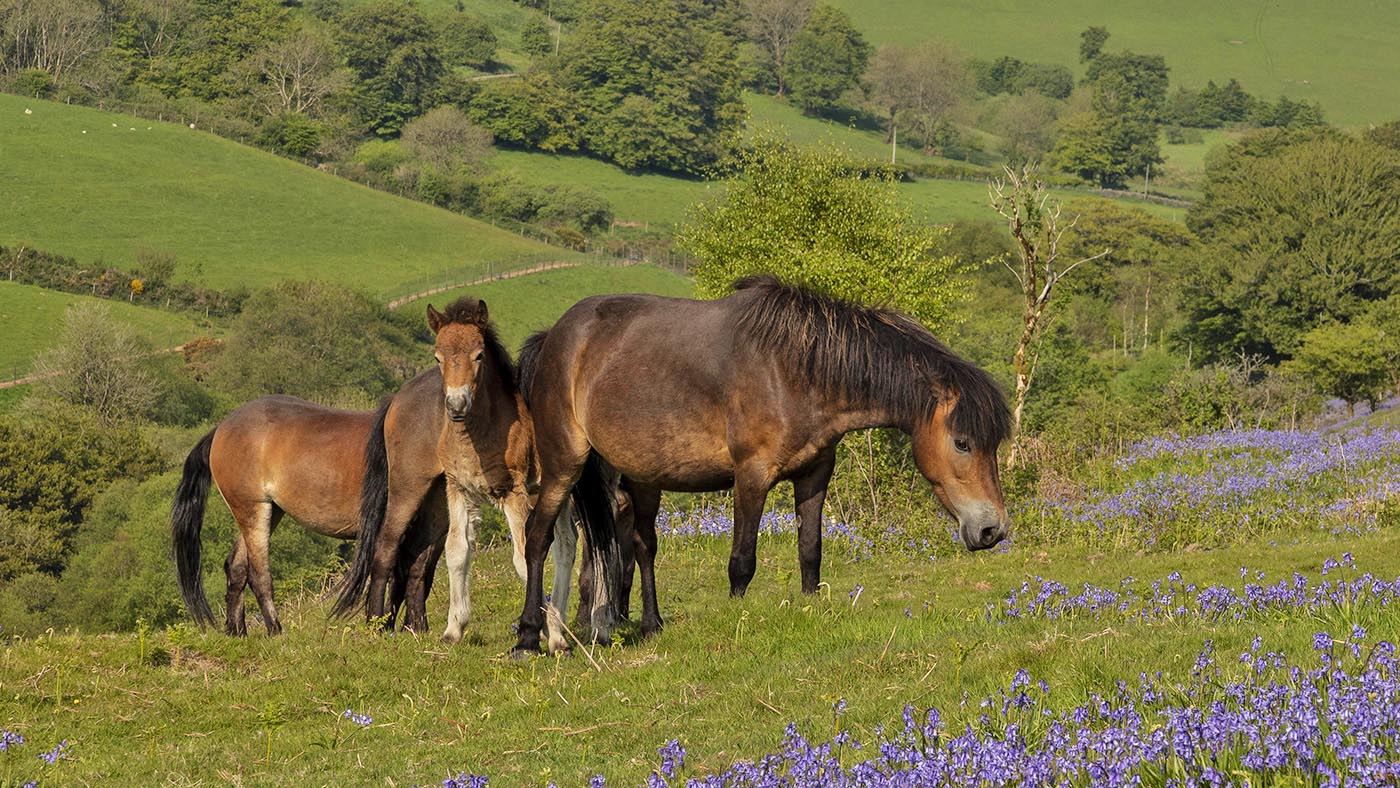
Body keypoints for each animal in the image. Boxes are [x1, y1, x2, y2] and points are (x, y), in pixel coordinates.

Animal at [171, 396, 448, 635]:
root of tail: (221, 428)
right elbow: (400, 575)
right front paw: (391, 625)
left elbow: (421, 574)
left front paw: (410, 627)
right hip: (253, 510)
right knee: (259, 573)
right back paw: (275, 630)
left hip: (268, 512)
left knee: (237, 567)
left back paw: (237, 632)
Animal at [334, 297, 621, 650]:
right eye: (438, 356)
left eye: (479, 355)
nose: (456, 405)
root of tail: (396, 399)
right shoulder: (461, 490)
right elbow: (459, 552)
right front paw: (455, 630)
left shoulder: (514, 492)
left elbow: (522, 558)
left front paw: (542, 632)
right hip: (411, 486)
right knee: (388, 545)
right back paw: (378, 624)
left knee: (567, 546)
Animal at [509, 275, 1013, 655]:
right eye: (963, 443)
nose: (992, 529)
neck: (794, 369)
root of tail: (553, 338)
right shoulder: (751, 476)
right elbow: (742, 562)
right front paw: (737, 615)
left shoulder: (814, 474)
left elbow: (810, 550)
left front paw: (810, 603)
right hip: (564, 465)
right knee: (538, 537)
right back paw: (530, 637)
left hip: (641, 476)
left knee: (641, 545)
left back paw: (649, 625)